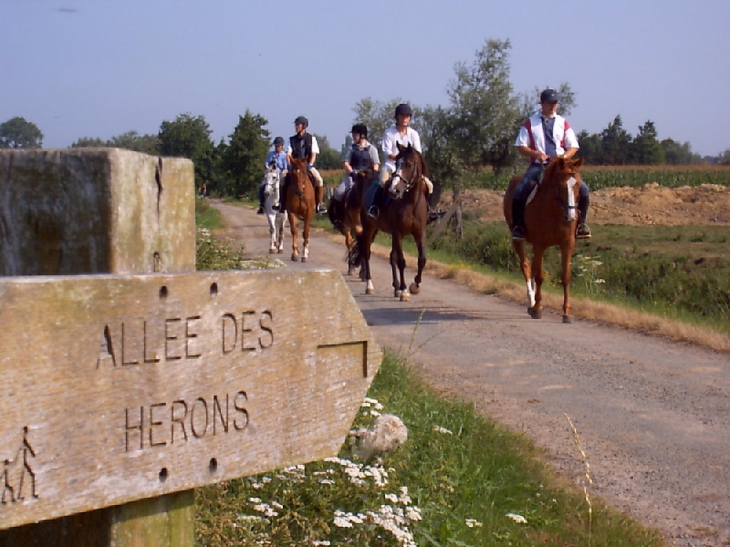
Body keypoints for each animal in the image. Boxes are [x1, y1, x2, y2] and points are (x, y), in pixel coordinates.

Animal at [350, 143, 430, 302]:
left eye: (409, 164)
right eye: (397, 163)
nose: (394, 191)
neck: (411, 202)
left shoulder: (419, 233)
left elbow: (421, 259)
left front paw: (415, 286)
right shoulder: (399, 233)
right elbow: (402, 261)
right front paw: (405, 291)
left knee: (391, 256)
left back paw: (396, 287)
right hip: (369, 227)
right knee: (367, 252)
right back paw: (370, 285)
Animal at [504, 156, 584, 324]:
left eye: (578, 185)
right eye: (560, 185)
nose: (571, 216)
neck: (556, 212)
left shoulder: (567, 245)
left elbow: (565, 277)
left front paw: (566, 313)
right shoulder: (540, 244)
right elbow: (540, 276)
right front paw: (537, 309)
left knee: (533, 268)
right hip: (518, 240)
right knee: (526, 266)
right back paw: (531, 301)